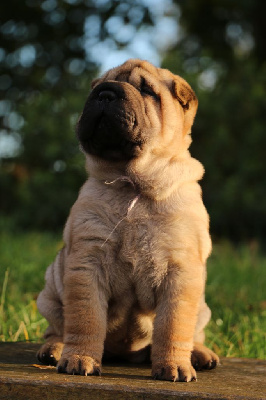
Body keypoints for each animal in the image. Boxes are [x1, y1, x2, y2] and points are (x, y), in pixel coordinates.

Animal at [38, 58, 220, 382]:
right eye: (97, 87)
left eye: (147, 91)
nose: (106, 93)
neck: (133, 183)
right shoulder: (87, 262)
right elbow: (86, 318)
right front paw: (80, 359)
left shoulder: (181, 271)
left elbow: (173, 325)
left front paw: (174, 366)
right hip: (49, 293)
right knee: (57, 328)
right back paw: (54, 349)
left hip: (202, 306)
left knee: (193, 333)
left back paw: (200, 355)